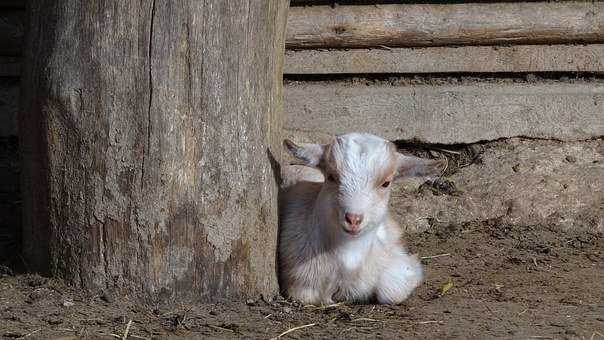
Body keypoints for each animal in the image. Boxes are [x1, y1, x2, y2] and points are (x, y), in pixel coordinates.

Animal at [278, 131, 444, 304]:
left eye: (386, 183)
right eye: (331, 176)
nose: (353, 219)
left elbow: (393, 290)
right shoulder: (301, 283)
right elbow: (305, 295)